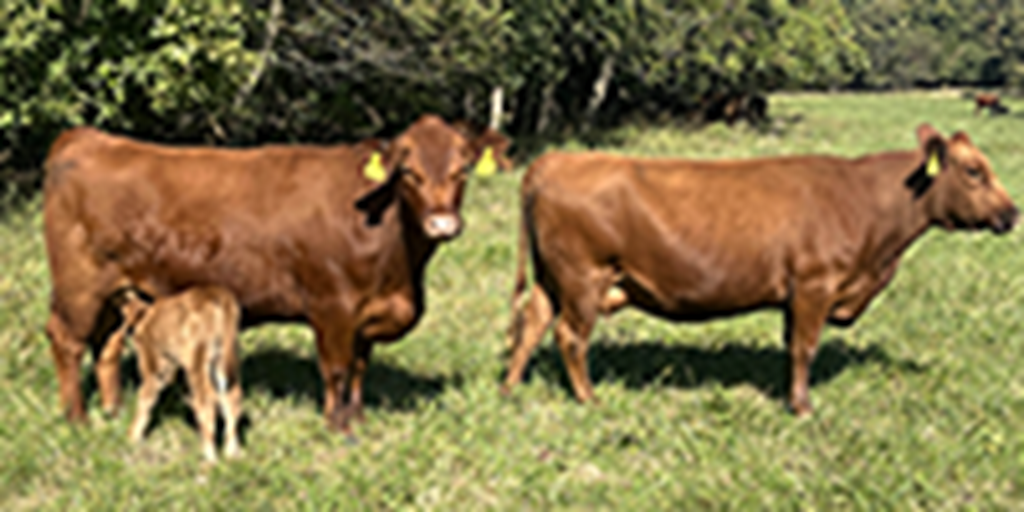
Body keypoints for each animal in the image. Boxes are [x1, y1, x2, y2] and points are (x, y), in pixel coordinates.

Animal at [44, 116, 507, 432]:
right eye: (410, 172)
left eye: (462, 170)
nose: (442, 223)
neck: (400, 268)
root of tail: (87, 138)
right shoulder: (332, 306)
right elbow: (337, 369)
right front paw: (337, 426)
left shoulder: (367, 312)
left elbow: (360, 368)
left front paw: (356, 417)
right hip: (78, 286)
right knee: (67, 339)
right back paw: (76, 417)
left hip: (116, 289)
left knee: (106, 343)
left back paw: (113, 409)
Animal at [501, 123, 1015, 415]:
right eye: (974, 171)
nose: (1012, 213)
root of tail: (555, 159)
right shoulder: (814, 285)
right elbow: (805, 348)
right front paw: (802, 408)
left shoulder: (795, 294)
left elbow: (791, 347)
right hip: (583, 277)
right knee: (569, 335)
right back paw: (588, 398)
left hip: (553, 279)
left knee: (531, 323)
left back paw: (510, 387)